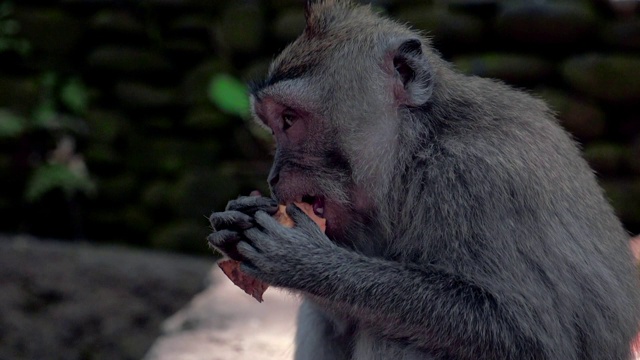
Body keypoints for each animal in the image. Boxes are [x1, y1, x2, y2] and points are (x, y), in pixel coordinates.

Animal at [209, 1, 640, 358]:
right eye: (271, 125)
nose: (273, 177)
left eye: (288, 119)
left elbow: (528, 334)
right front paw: (238, 216)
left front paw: (304, 263)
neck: (415, 150)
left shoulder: (474, 180)